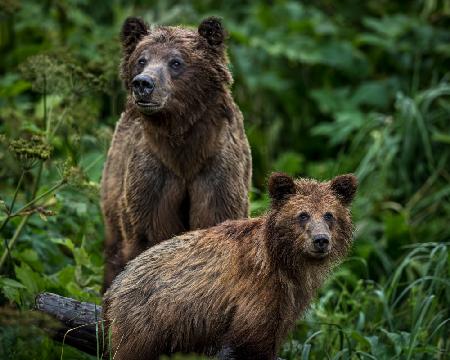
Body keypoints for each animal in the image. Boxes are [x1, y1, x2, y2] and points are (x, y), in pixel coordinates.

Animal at [100, 17, 251, 290]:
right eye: (142, 59)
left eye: (176, 62)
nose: (143, 83)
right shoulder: (154, 173)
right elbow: (150, 234)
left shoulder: (216, 172)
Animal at [103, 173, 358, 358]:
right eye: (303, 215)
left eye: (329, 215)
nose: (321, 240)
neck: (284, 262)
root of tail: (116, 285)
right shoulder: (255, 297)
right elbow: (251, 342)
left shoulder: (288, 303)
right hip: (145, 323)